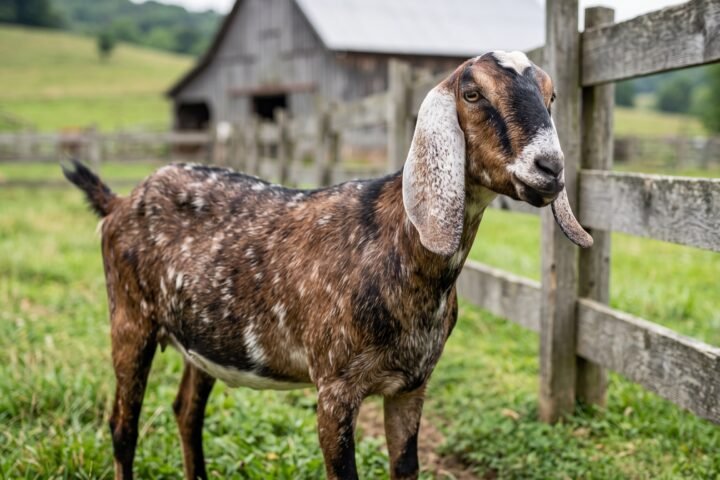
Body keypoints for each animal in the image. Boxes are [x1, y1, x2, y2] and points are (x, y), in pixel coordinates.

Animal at [63, 50, 591, 480]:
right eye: (472, 92)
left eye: (552, 95)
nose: (551, 168)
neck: (395, 250)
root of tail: (118, 202)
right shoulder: (334, 389)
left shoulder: (412, 385)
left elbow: (406, 467)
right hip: (129, 319)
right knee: (122, 426)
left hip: (205, 337)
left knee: (186, 412)